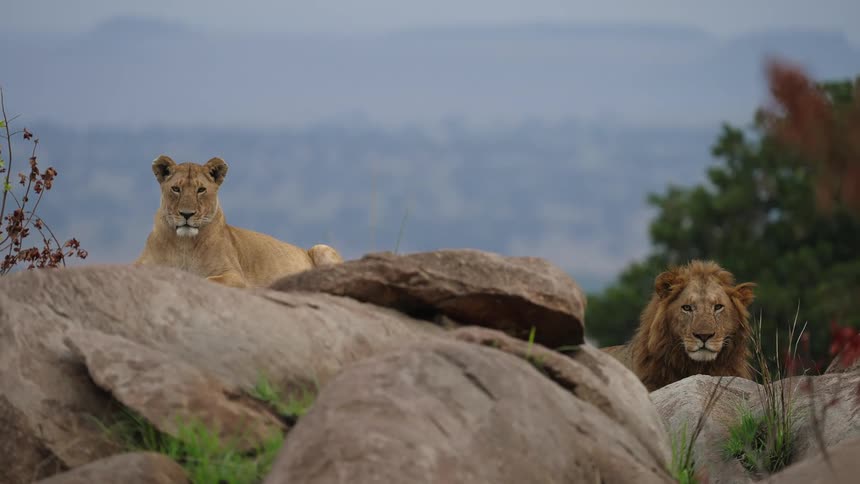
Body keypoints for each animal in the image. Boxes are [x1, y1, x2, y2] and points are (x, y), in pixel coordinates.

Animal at [135, 155, 343, 288]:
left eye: (201, 190)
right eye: (176, 189)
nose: (187, 214)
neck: (183, 243)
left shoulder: (235, 275)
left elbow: (207, 280)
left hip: (321, 248)